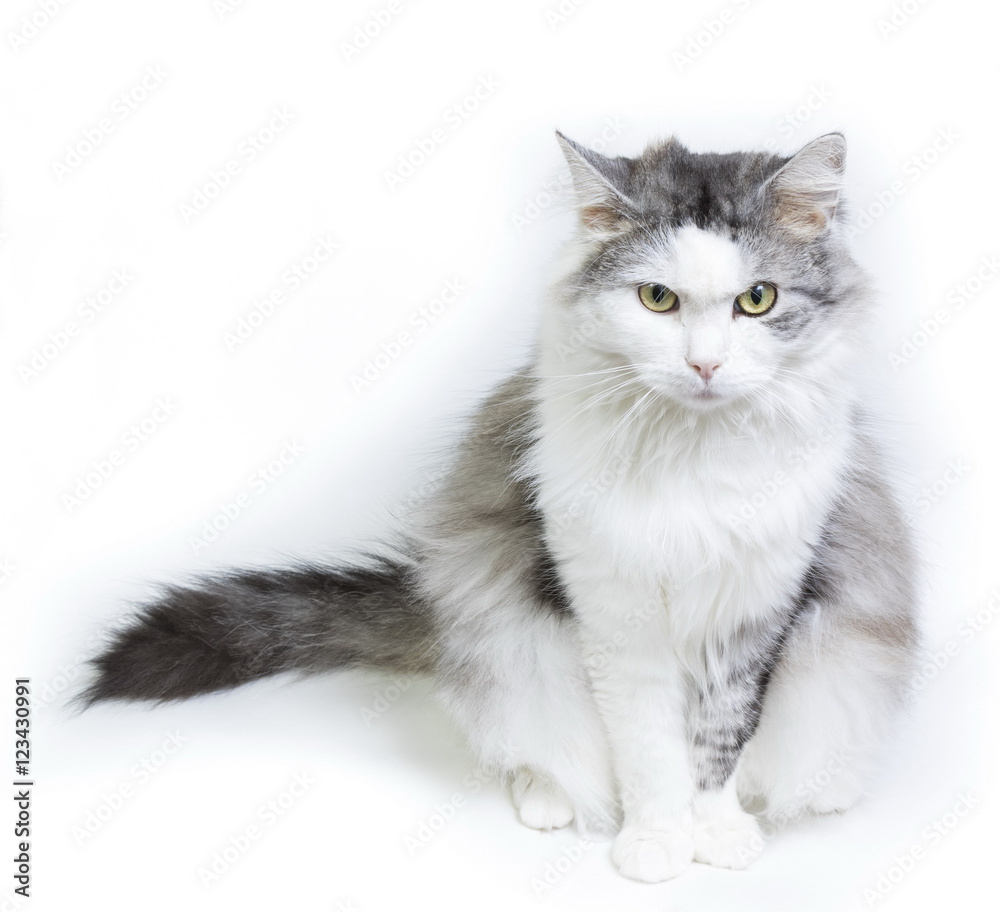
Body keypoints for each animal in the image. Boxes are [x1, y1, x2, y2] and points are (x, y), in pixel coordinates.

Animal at [82, 130, 916, 884]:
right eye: (657, 299)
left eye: (757, 300)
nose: (705, 365)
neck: (694, 455)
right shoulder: (615, 616)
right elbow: (648, 749)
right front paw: (655, 841)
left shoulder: (756, 613)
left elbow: (720, 740)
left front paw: (714, 831)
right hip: (505, 634)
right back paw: (549, 795)